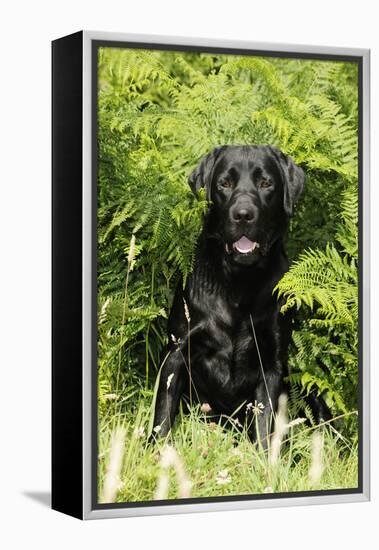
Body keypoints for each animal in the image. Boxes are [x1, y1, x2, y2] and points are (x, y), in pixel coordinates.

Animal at [153, 144, 332, 446]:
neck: (239, 282)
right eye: (224, 183)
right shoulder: (177, 350)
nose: (244, 214)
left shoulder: (271, 364)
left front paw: (265, 458)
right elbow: (163, 414)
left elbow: (264, 424)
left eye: (266, 183)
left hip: (308, 389)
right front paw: (155, 450)